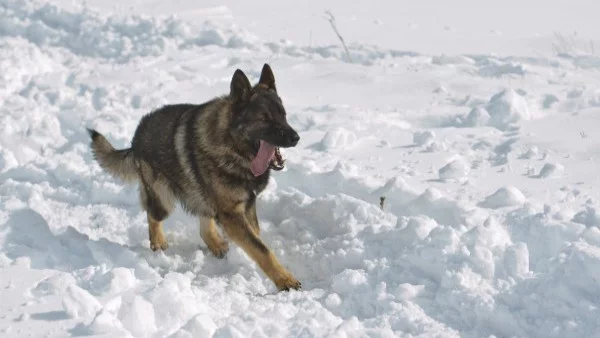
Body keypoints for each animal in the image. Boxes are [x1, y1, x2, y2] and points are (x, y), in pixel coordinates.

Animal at [86, 64, 302, 292]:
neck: (232, 147)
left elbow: (257, 238)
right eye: (264, 119)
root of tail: (136, 138)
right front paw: (285, 279)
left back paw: (216, 244)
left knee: (203, 222)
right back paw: (158, 243)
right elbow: (262, 249)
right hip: (164, 200)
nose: (296, 138)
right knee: (152, 215)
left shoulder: (246, 206)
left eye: (283, 115)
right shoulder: (231, 214)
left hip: (198, 194)